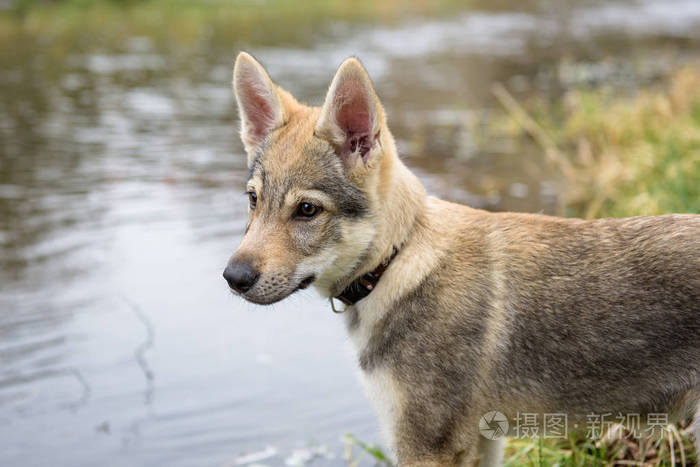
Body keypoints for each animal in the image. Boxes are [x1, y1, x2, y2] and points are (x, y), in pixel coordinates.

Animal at [223, 53, 700, 466]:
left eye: (307, 210)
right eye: (253, 200)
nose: (233, 277)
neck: (395, 263)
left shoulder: (426, 448)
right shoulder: (484, 443)